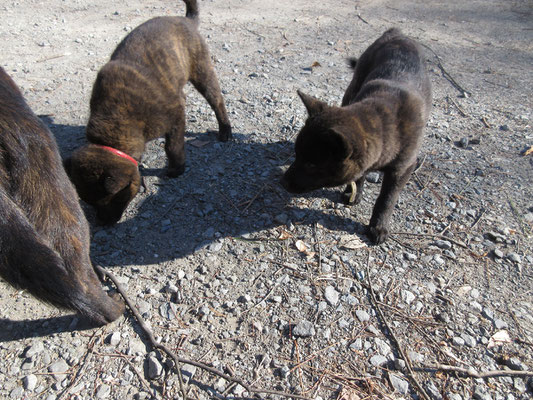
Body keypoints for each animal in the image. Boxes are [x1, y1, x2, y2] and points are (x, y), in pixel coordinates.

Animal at [65, 0, 232, 223]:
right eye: (88, 203)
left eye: (113, 198)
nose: (104, 223)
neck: (116, 122)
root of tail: (185, 20)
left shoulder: (174, 118)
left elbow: (172, 147)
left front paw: (176, 169)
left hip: (202, 71)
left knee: (217, 101)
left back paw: (225, 131)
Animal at [280, 28, 430, 244]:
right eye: (297, 156)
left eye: (311, 164)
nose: (282, 182)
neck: (385, 121)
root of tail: (395, 33)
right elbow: (361, 174)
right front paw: (355, 192)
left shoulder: (403, 168)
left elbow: (387, 199)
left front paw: (379, 226)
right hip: (352, 88)